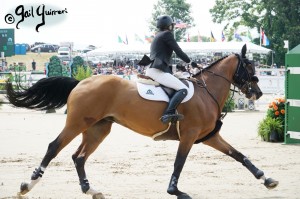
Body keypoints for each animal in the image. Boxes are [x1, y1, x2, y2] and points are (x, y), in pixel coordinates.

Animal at [4, 45, 278, 199]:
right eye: (249, 66)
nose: (257, 93)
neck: (206, 91)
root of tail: (81, 82)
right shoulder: (189, 136)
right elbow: (179, 163)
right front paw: (176, 192)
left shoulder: (209, 137)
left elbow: (239, 155)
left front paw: (266, 179)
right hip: (76, 124)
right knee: (54, 148)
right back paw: (28, 185)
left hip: (98, 129)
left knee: (78, 157)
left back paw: (91, 190)